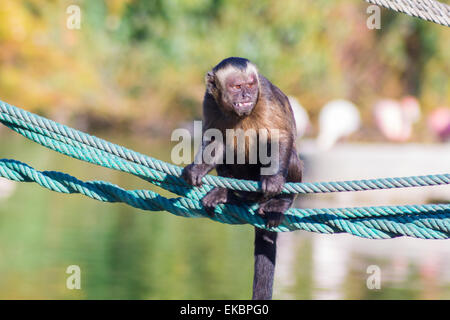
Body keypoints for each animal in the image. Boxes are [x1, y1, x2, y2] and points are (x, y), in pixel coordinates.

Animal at [180, 57, 302, 300]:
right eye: (237, 87)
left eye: (251, 85)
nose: (246, 95)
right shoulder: (209, 100)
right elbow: (215, 138)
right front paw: (199, 168)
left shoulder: (266, 95)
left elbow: (280, 136)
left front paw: (274, 180)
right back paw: (229, 195)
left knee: (284, 149)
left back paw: (281, 201)